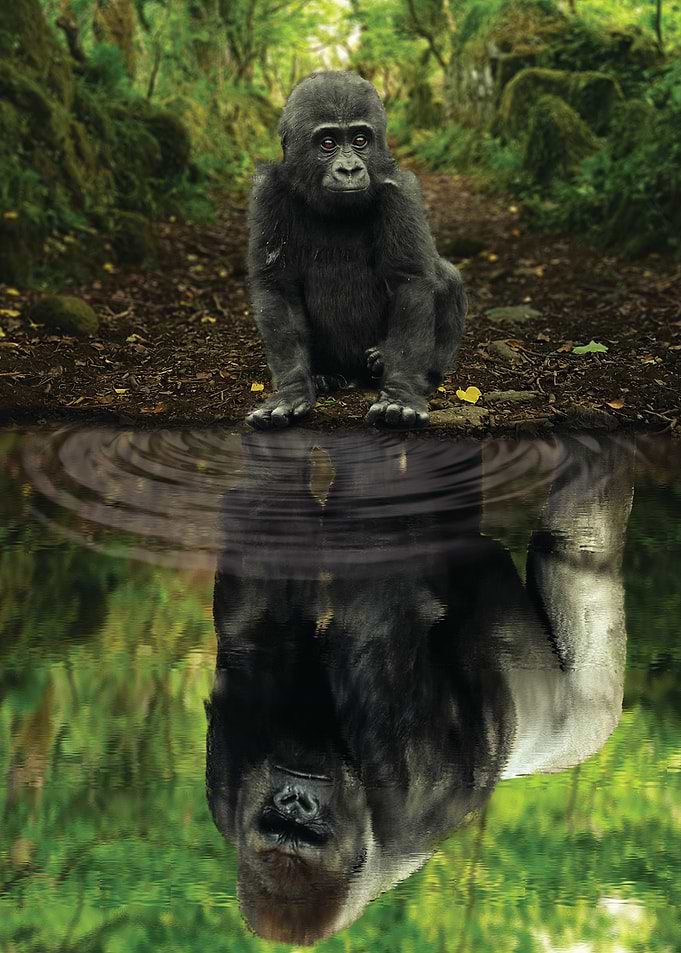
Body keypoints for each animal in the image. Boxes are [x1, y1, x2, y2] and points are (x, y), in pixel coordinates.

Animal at [246, 71, 466, 431]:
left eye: (360, 140)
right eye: (328, 143)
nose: (349, 169)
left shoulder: (401, 190)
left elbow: (409, 282)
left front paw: (399, 395)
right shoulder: (267, 192)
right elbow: (277, 285)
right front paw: (292, 391)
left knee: (445, 275)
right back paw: (323, 377)